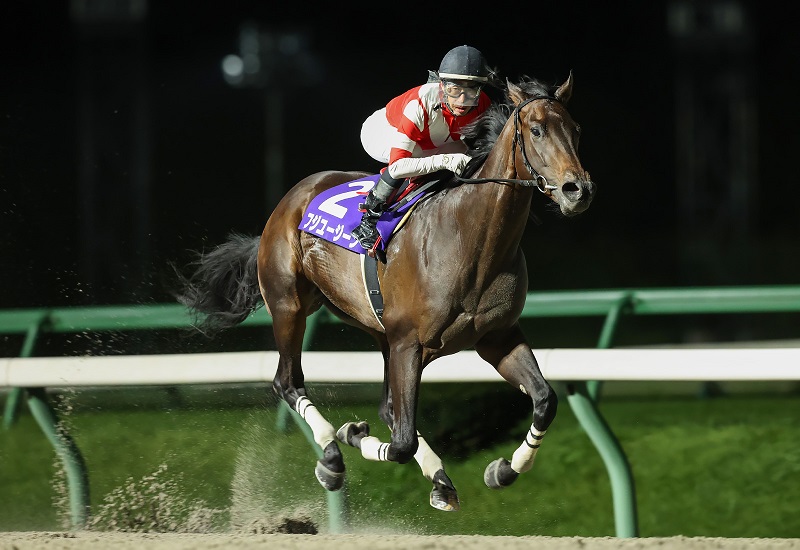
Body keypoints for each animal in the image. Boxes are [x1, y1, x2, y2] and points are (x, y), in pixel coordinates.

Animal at [174, 72, 594, 511]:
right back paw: (332, 454)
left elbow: (545, 400)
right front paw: (351, 434)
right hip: (290, 306)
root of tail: (289, 201)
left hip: (379, 332)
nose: (577, 190)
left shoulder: (496, 337)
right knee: (289, 382)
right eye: (537, 129)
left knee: (389, 408)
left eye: (576, 129)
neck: (472, 239)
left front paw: (503, 470)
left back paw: (437, 479)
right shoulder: (409, 342)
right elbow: (402, 442)